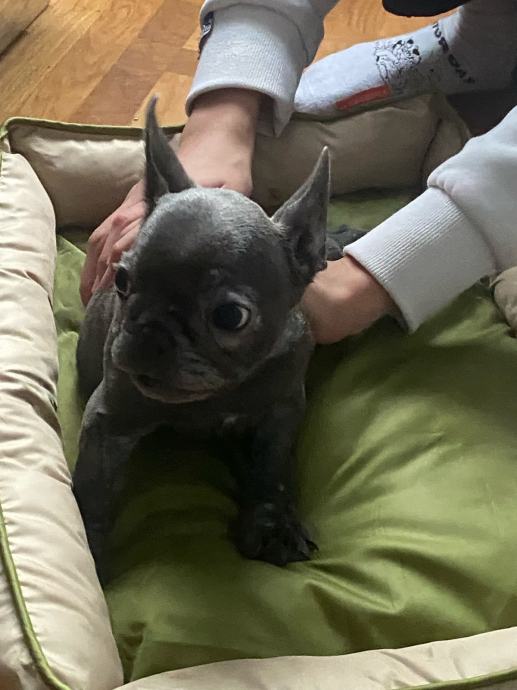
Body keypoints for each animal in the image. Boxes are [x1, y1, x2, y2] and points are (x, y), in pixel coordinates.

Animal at [73, 98, 355, 583]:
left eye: (230, 316)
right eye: (122, 280)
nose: (151, 332)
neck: (217, 395)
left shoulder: (281, 411)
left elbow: (272, 466)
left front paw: (273, 522)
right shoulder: (108, 421)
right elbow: (92, 491)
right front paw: (86, 552)